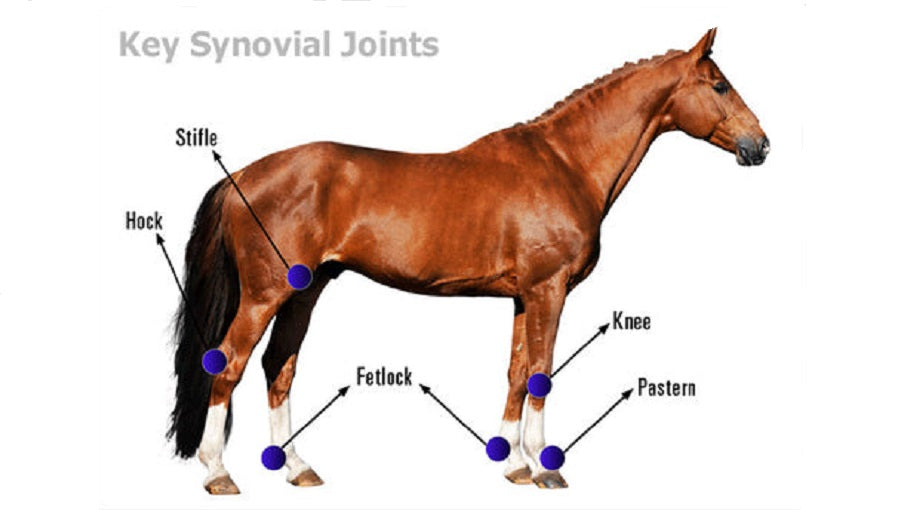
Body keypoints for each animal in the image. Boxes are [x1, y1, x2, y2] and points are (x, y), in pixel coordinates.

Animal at [167, 28, 769, 494]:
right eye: (719, 84)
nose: (760, 145)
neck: (565, 163)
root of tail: (241, 178)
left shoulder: (525, 296)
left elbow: (517, 372)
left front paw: (514, 464)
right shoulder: (549, 289)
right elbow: (542, 373)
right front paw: (545, 469)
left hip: (306, 290)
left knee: (279, 367)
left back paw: (296, 467)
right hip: (266, 294)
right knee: (229, 363)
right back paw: (218, 473)